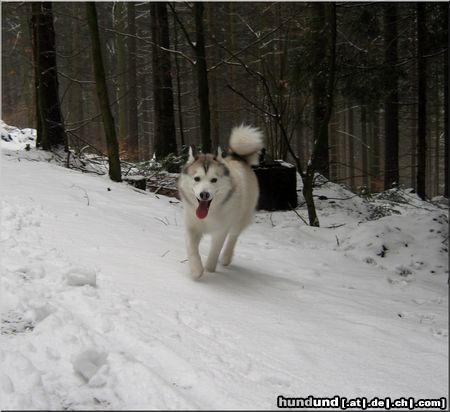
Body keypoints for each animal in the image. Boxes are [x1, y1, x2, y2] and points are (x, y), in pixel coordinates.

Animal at [178, 124, 264, 280]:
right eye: (197, 178)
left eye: (214, 180)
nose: (204, 194)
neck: (208, 214)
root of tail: (238, 157)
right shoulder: (192, 226)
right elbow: (191, 249)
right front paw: (196, 270)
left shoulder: (221, 230)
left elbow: (214, 252)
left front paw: (210, 270)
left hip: (241, 217)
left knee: (233, 237)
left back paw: (225, 258)